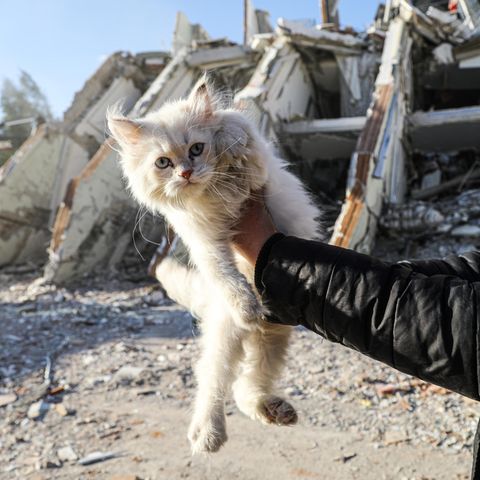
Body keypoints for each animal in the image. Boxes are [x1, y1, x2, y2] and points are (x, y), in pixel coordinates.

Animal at [107, 81, 320, 454]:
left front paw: (230, 147)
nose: (186, 173)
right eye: (163, 162)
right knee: (216, 380)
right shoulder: (206, 244)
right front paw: (247, 305)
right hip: (224, 333)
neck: (211, 195)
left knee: (247, 385)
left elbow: (236, 127)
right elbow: (226, 275)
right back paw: (208, 433)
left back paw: (274, 410)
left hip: (275, 337)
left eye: (196, 149)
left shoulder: (260, 171)